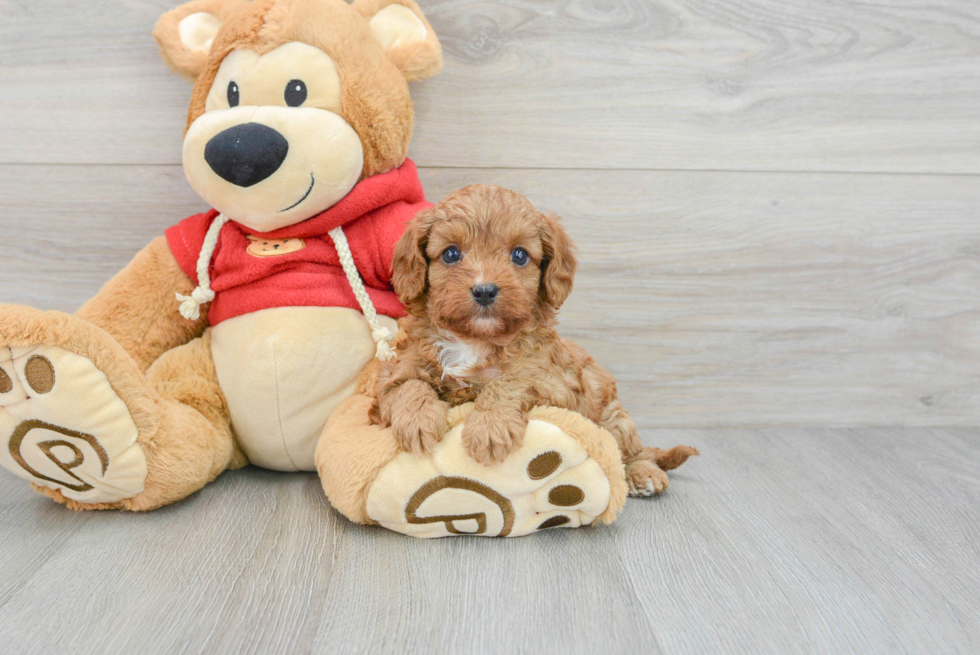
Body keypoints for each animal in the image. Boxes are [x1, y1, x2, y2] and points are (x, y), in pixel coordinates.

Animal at [370, 184, 696, 498]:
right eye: (451, 254)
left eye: (520, 255)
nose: (484, 290)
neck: (475, 340)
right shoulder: (393, 374)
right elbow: (409, 385)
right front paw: (417, 419)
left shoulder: (555, 385)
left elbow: (510, 381)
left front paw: (490, 428)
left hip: (611, 414)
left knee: (628, 450)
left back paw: (644, 474)